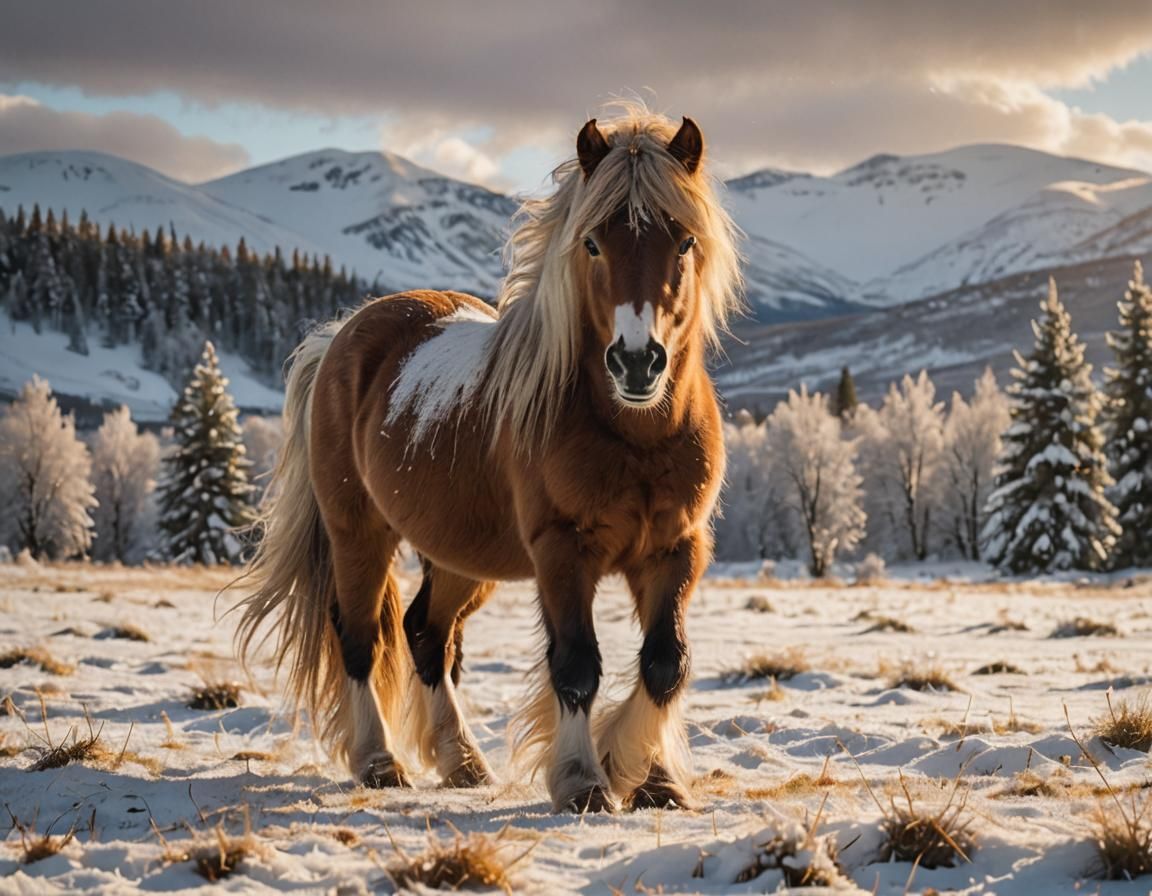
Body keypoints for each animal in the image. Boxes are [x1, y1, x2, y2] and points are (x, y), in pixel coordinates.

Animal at [236, 106, 743, 813]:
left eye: (685, 242)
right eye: (592, 244)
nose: (637, 362)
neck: (634, 436)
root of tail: (342, 334)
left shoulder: (677, 548)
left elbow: (667, 662)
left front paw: (650, 776)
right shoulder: (563, 551)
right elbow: (577, 666)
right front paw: (585, 779)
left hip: (458, 555)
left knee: (426, 633)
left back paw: (463, 761)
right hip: (358, 533)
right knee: (361, 638)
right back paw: (379, 761)